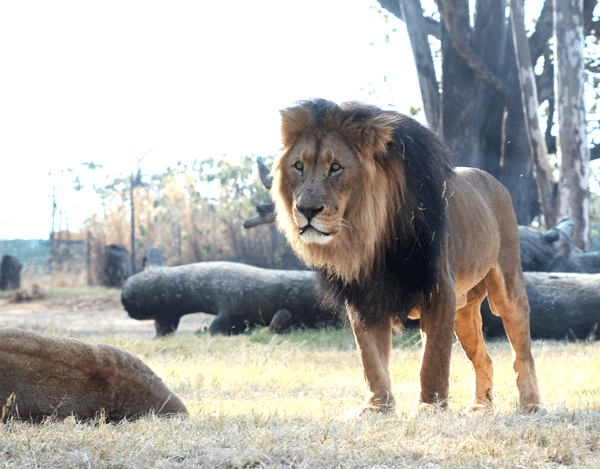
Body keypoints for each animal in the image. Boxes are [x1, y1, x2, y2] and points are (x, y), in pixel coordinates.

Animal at [272, 98, 548, 414]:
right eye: (298, 166)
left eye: (336, 167)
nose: (306, 210)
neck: (372, 236)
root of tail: (495, 181)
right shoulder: (365, 296)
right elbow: (370, 358)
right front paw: (377, 406)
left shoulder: (439, 290)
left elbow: (433, 358)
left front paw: (429, 406)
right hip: (464, 311)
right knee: (484, 358)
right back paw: (481, 407)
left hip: (507, 286)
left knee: (522, 352)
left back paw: (531, 405)